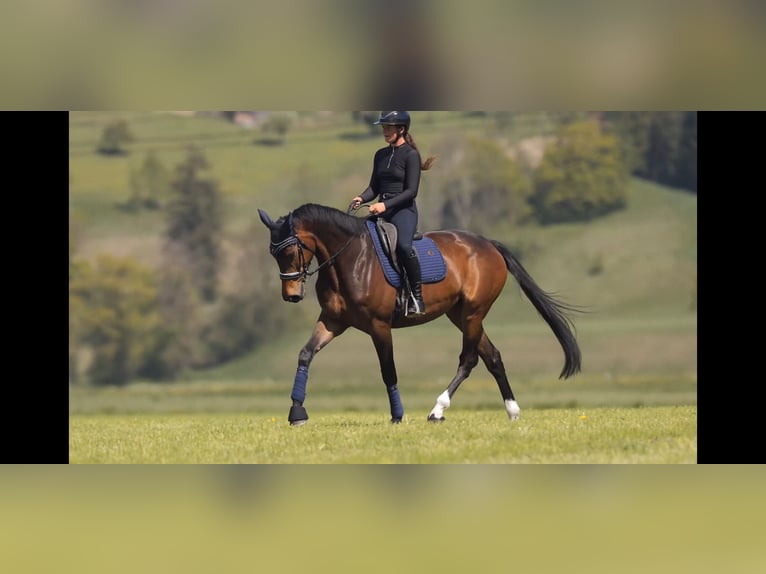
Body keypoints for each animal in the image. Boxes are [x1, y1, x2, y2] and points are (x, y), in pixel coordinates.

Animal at [258, 202, 582, 425]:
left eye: (289, 251)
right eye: (273, 254)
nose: (291, 296)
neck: (348, 260)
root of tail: (489, 244)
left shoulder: (379, 326)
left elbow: (388, 370)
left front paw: (397, 416)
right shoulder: (333, 321)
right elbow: (305, 354)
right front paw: (297, 412)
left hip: (473, 314)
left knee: (469, 360)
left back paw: (438, 409)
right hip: (461, 315)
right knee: (493, 357)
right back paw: (512, 410)